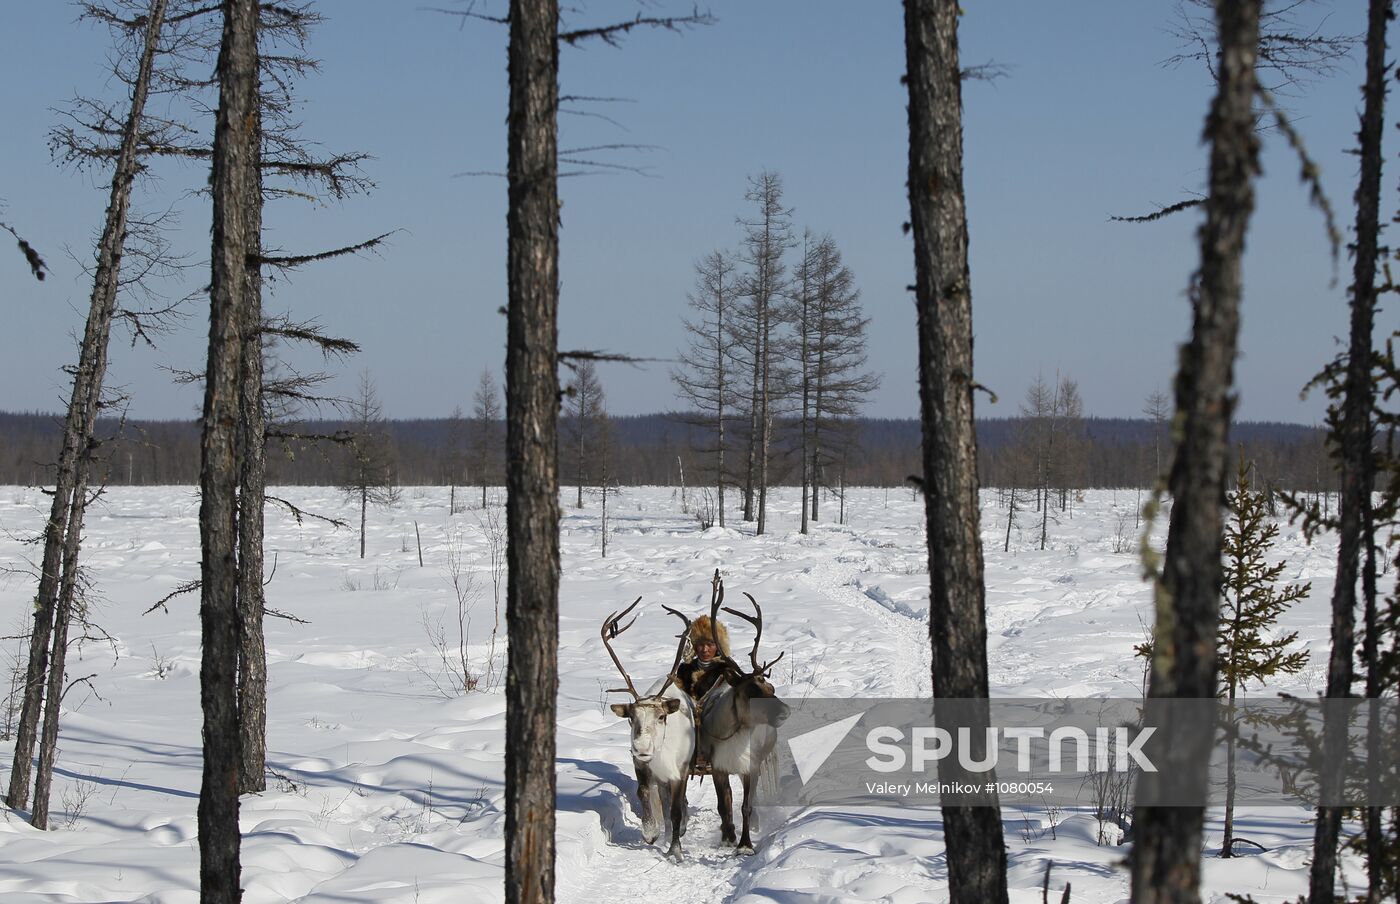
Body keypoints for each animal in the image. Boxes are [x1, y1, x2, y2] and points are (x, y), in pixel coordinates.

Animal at [603, 597, 696, 860]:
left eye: (662, 716)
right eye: (631, 718)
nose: (642, 747)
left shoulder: (679, 772)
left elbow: (676, 810)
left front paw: (676, 849)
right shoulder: (642, 767)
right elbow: (644, 794)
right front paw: (651, 833)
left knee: (677, 806)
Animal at [694, 571, 790, 854]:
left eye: (770, 687)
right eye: (752, 690)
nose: (786, 711)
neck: (736, 732)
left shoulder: (752, 766)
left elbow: (746, 805)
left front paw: (746, 844)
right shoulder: (718, 767)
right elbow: (723, 805)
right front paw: (728, 836)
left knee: (753, 800)